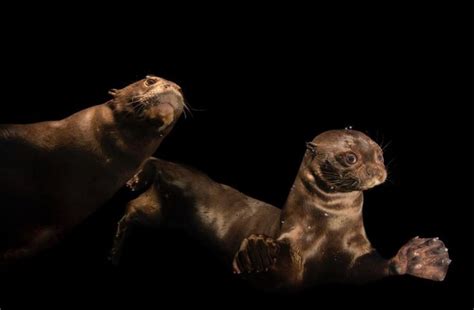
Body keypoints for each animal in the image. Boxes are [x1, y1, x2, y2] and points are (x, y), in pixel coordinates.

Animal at [109, 129, 450, 288]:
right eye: (350, 157)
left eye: (379, 153)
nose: (379, 171)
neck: (324, 230)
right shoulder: (290, 250)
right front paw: (257, 251)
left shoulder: (352, 255)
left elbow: (368, 269)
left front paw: (421, 257)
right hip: (170, 191)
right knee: (149, 176)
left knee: (133, 205)